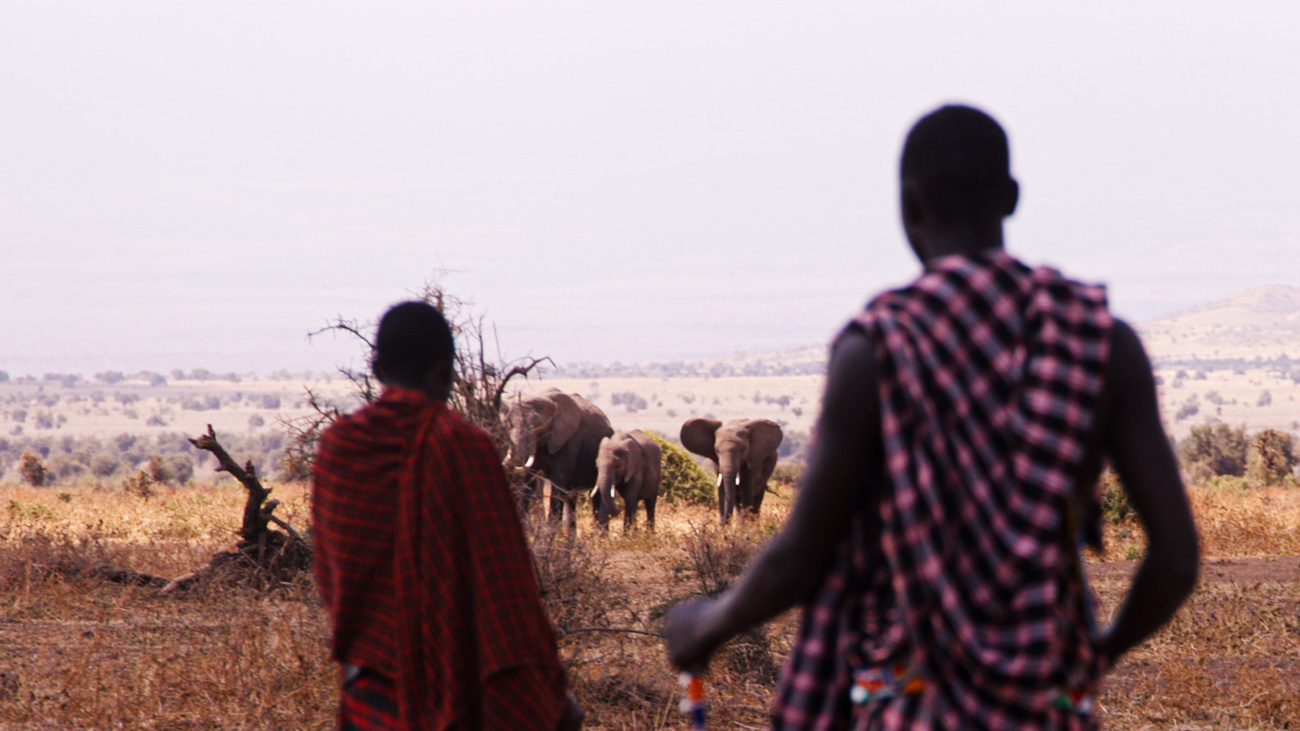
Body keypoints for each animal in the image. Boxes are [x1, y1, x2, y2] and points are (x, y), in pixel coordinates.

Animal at [501, 387, 613, 528]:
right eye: (507, 425)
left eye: (539, 426)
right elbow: (528, 482)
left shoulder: (570, 439)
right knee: (571, 498)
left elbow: (558, 483)